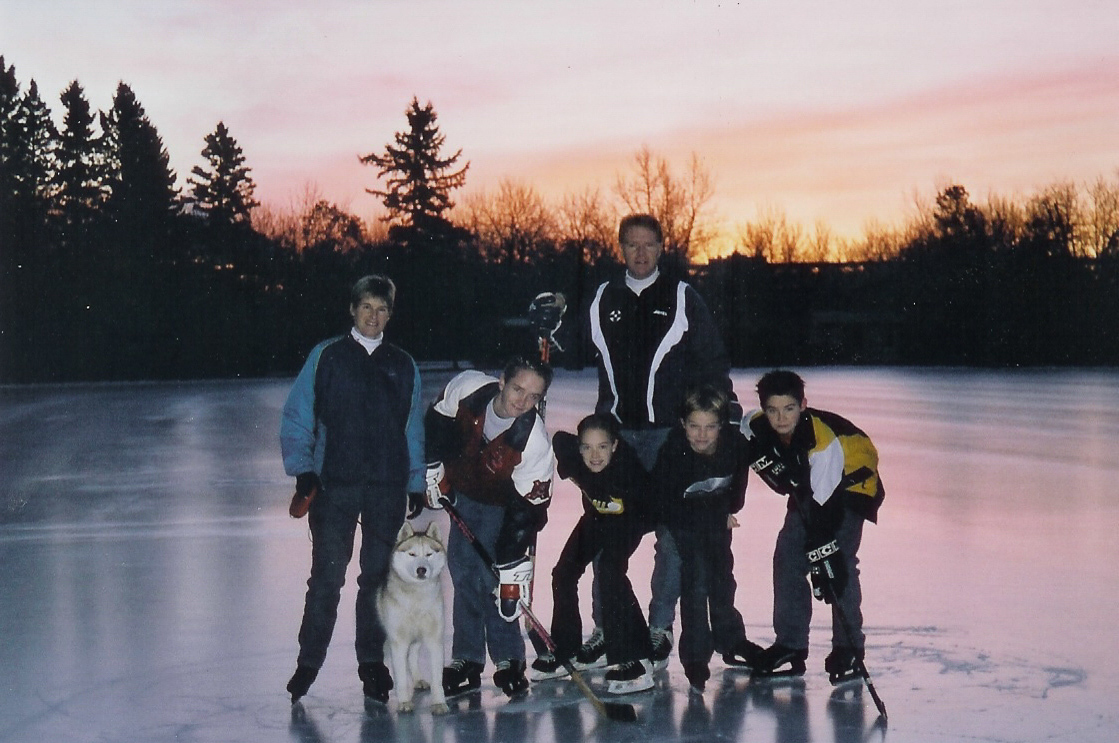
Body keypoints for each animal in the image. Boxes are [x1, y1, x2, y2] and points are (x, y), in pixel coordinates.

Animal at [373, 519, 447, 716]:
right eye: (412, 554)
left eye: (429, 554)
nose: (421, 569)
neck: (416, 596)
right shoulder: (398, 641)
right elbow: (400, 676)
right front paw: (404, 702)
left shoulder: (434, 639)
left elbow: (437, 677)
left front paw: (439, 702)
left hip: (416, 637)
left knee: (412, 656)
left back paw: (418, 679)